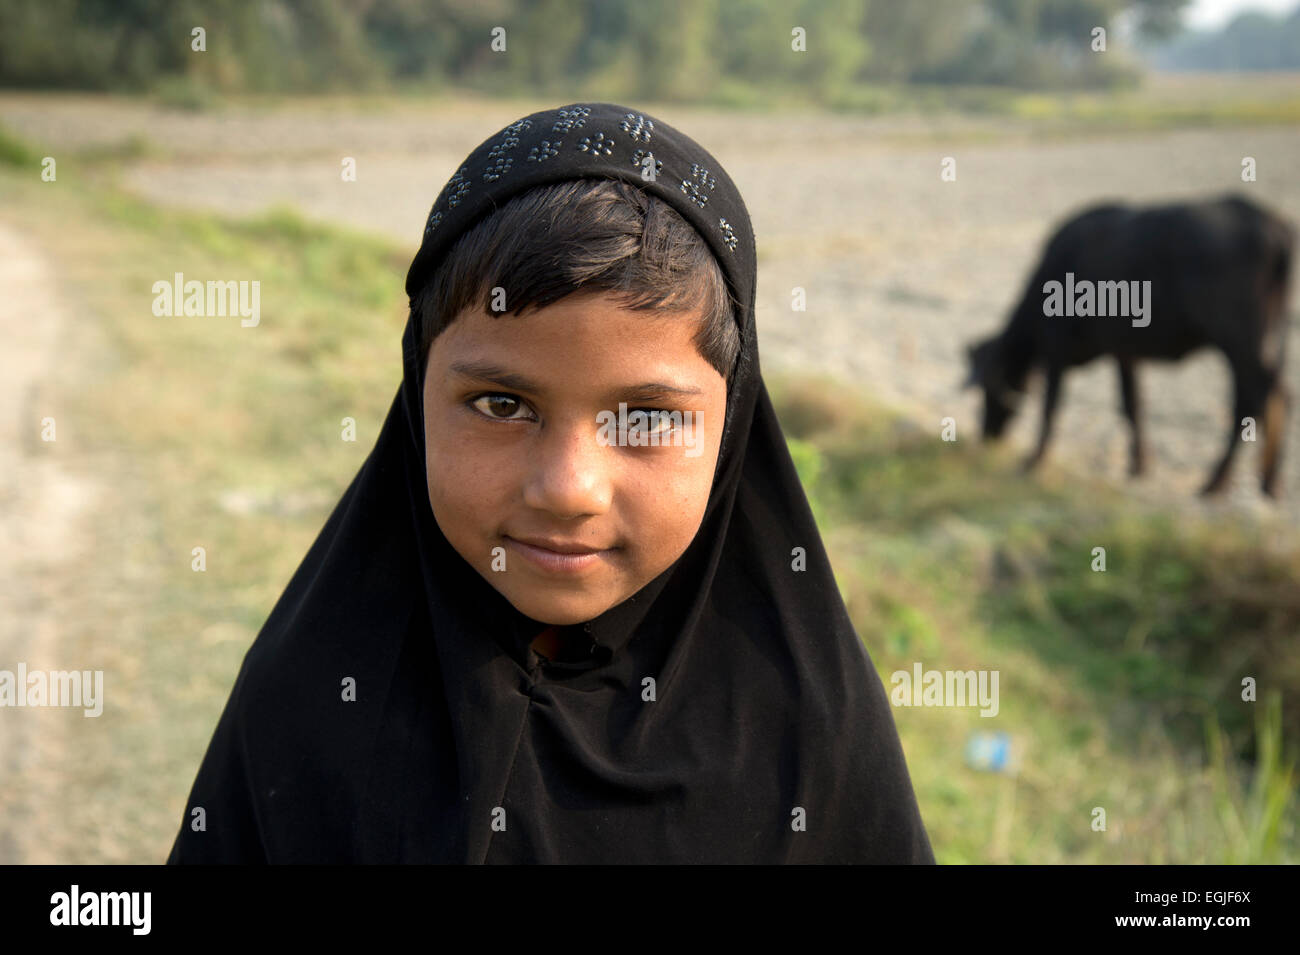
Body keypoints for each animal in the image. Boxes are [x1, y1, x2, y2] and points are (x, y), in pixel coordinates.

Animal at [961, 191, 1294, 496]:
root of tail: (1268, 221)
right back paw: (1269, 482)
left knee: (1253, 401)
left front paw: (1034, 460)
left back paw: (1217, 482)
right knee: (1274, 396)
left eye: (990, 391)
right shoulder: (1124, 353)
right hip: (1267, 339)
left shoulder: (1056, 351)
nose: (986, 435)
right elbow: (1132, 405)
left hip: (1239, 342)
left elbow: (1051, 406)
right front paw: (1139, 465)